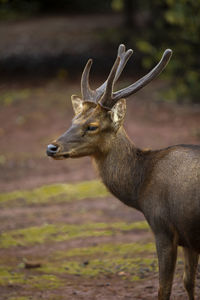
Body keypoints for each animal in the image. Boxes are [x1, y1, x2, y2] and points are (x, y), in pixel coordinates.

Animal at [46, 44, 200, 300]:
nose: (51, 147)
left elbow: (164, 289)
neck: (141, 188)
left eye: (92, 126)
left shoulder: (163, 228)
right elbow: (189, 282)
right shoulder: (189, 236)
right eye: (73, 119)